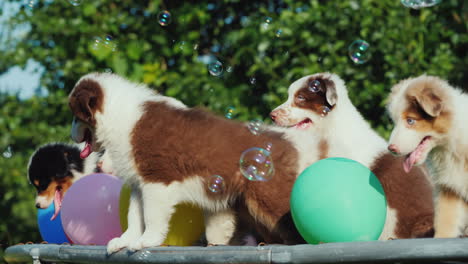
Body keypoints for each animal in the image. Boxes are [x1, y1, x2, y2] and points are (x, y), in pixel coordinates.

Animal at [68, 72, 318, 254]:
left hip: (269, 193)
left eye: (75, 117)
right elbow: (134, 215)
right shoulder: (140, 183)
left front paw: (147, 241)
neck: (120, 116)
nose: (71, 134)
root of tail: (286, 140)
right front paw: (124, 240)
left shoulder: (157, 179)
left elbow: (151, 215)